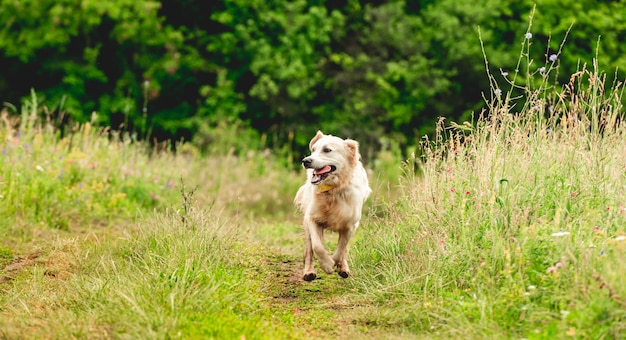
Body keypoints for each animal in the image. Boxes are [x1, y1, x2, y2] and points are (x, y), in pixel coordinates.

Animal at [294, 130, 370, 282]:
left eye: (327, 150)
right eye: (313, 149)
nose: (306, 161)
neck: (333, 190)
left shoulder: (351, 225)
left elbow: (341, 248)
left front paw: (333, 263)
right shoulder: (312, 218)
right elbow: (317, 246)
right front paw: (327, 264)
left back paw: (343, 268)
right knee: (309, 248)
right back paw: (309, 272)